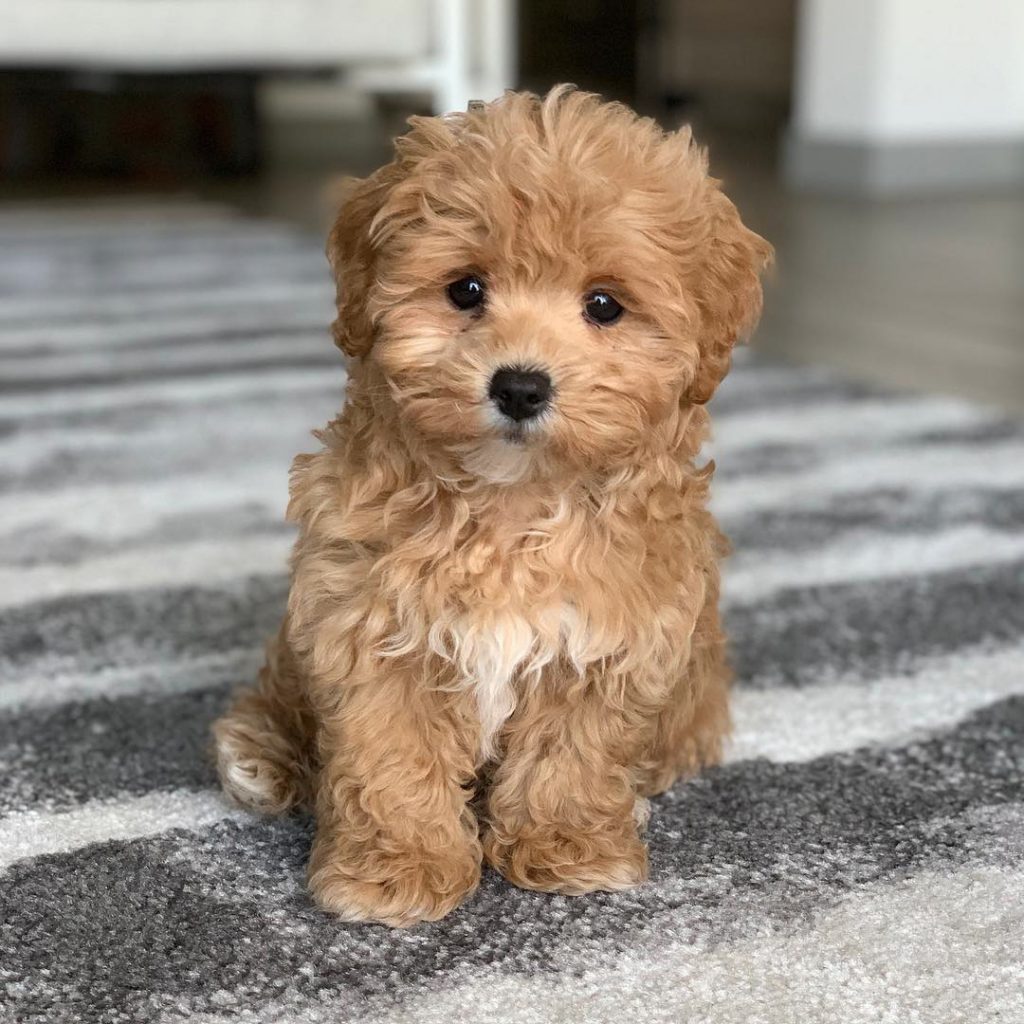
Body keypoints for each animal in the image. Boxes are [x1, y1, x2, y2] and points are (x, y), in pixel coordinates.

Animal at [211, 88, 770, 925]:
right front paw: (397, 868)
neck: (509, 501)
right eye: (466, 290)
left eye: (604, 306)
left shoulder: (611, 634)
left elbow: (574, 750)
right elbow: (391, 754)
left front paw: (567, 845)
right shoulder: (368, 621)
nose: (520, 386)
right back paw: (261, 757)